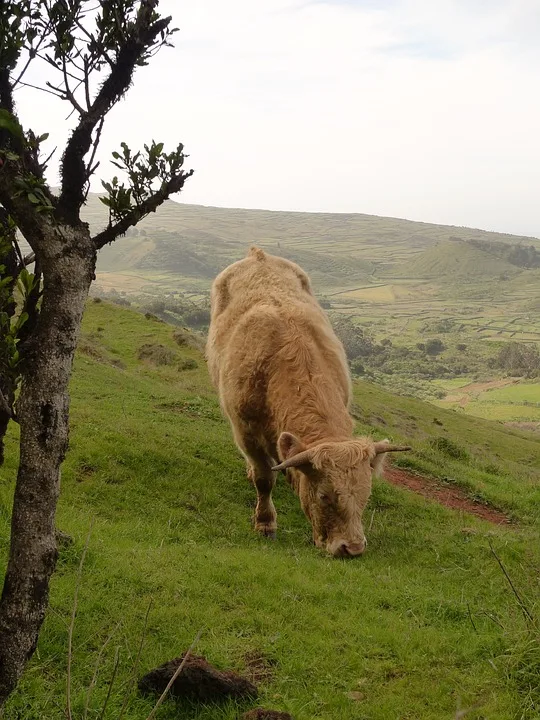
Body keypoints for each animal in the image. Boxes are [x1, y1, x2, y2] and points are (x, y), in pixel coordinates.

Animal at [206, 248, 410, 556]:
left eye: (365, 496)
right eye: (325, 496)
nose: (352, 548)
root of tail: (258, 255)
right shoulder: (246, 433)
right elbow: (264, 479)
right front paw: (265, 523)